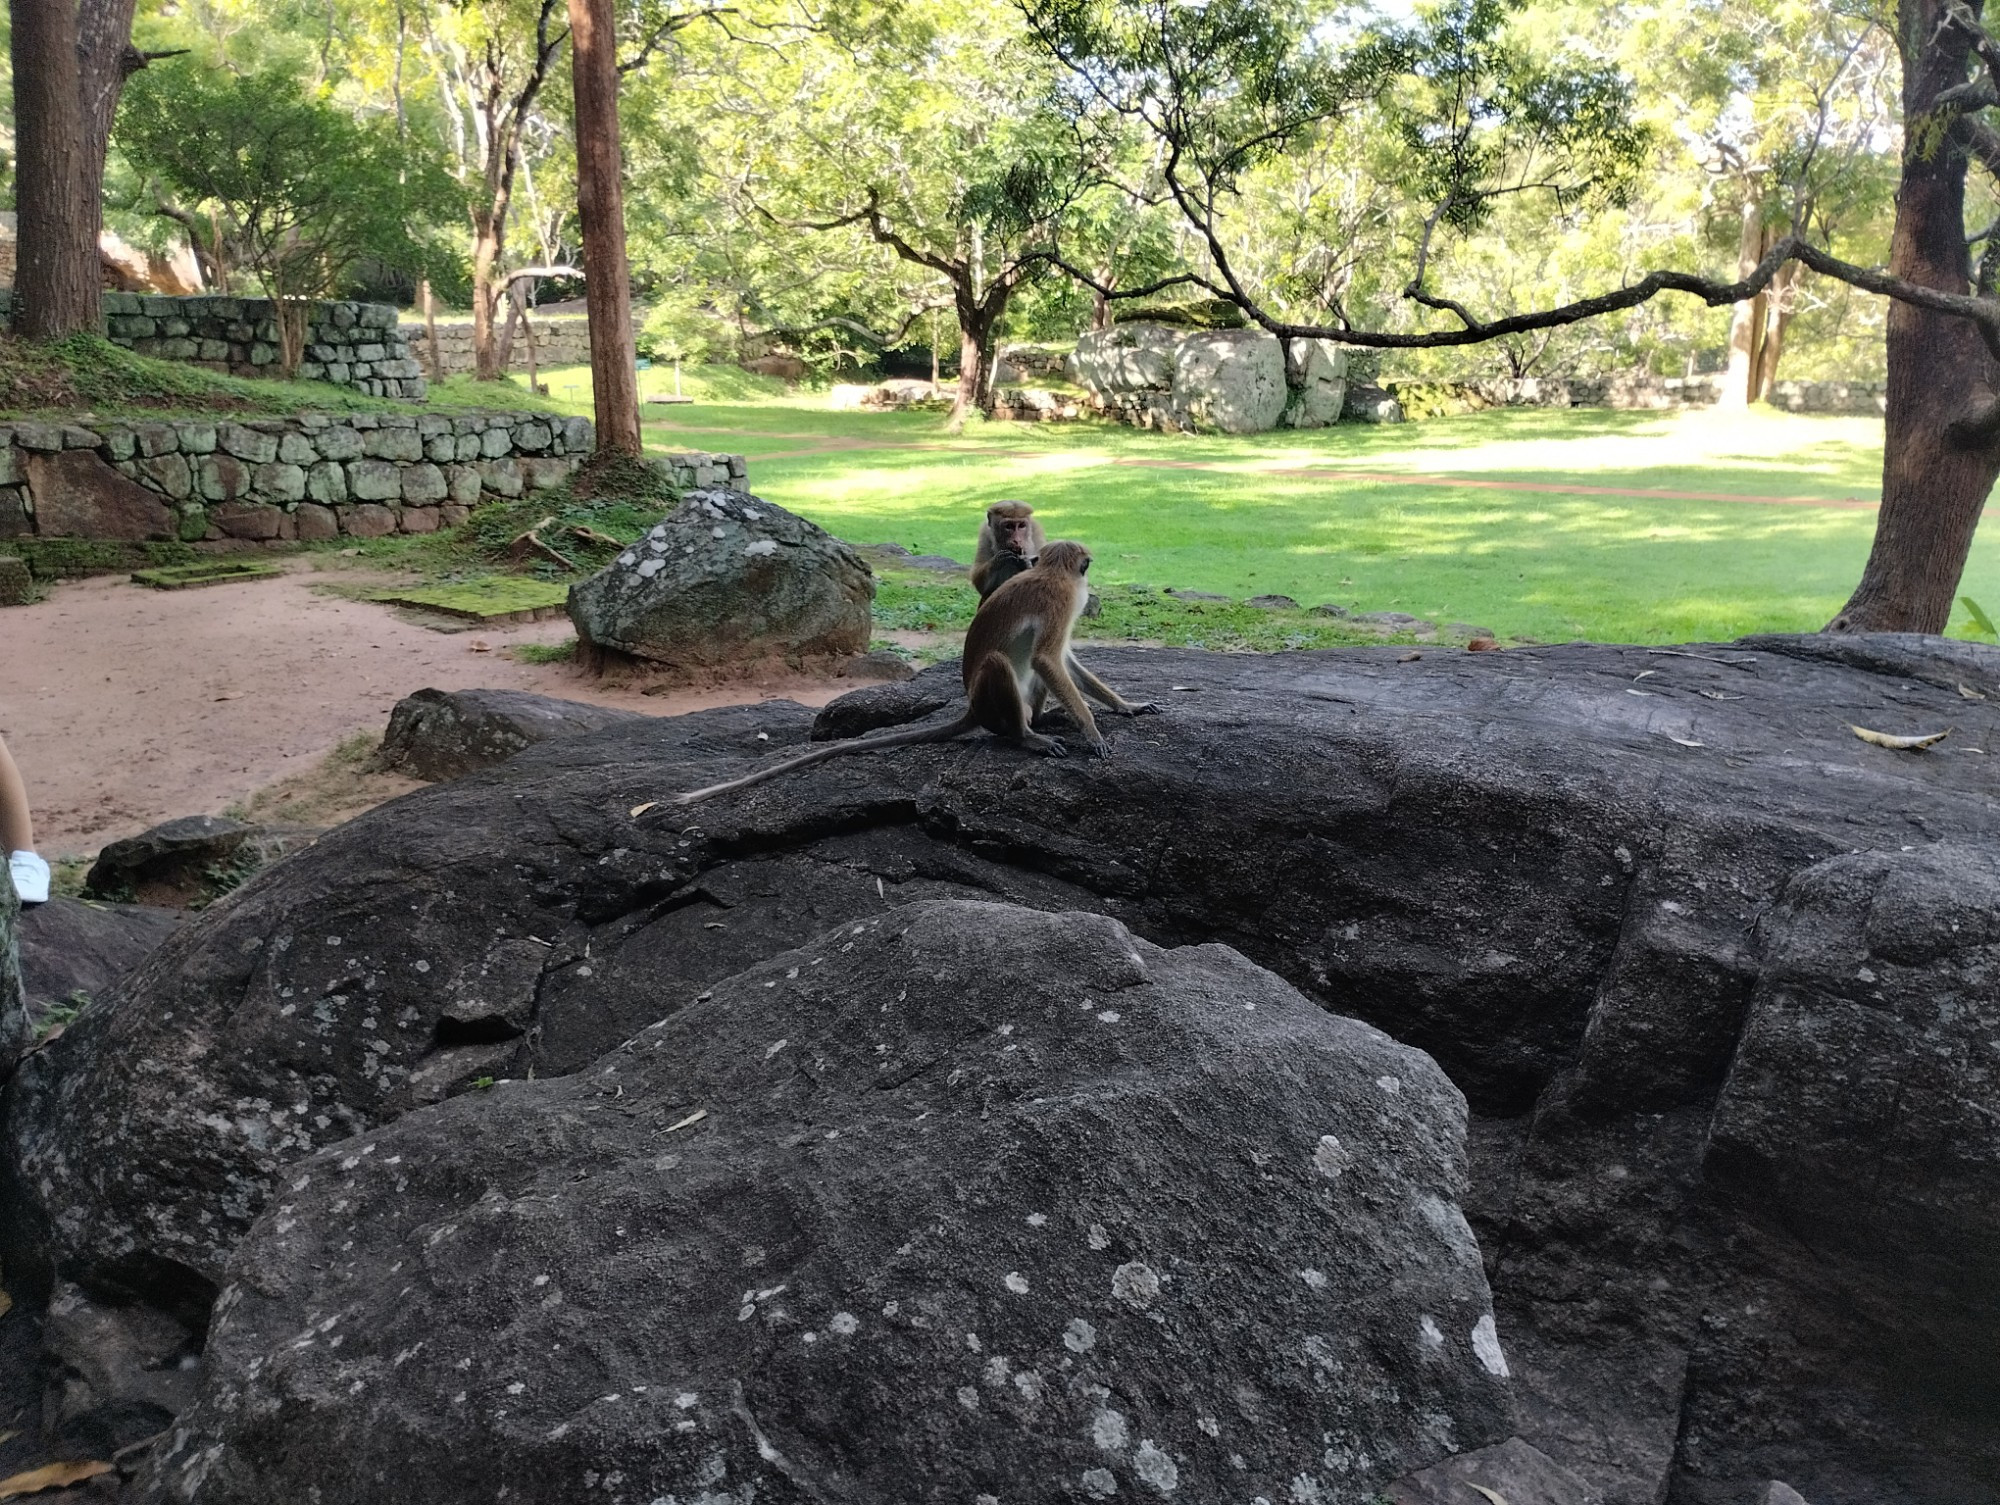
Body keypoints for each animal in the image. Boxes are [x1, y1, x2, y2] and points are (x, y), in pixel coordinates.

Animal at [676, 536, 1160, 804]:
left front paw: (1127, 707)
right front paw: (1092, 732)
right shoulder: (1061, 601)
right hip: (994, 700)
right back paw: (1026, 736)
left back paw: (1042, 718)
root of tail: (973, 708)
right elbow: (1047, 658)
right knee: (1003, 666)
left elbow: (1063, 661)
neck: (1054, 574)